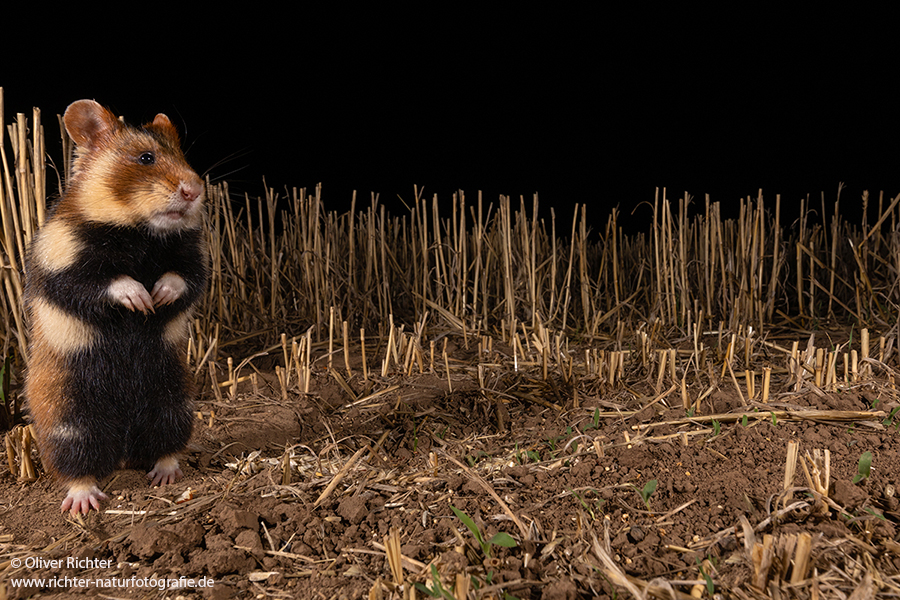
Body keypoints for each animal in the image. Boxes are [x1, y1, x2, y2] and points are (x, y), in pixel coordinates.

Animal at [24, 99, 207, 515]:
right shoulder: (58, 261)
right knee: (77, 465)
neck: (138, 229)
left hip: (173, 401)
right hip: (70, 419)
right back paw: (83, 500)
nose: (195, 190)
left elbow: (184, 279)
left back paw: (166, 475)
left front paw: (159, 296)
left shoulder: (193, 259)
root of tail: (122, 452)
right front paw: (141, 299)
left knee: (163, 442)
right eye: (145, 158)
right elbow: (103, 282)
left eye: (184, 155)